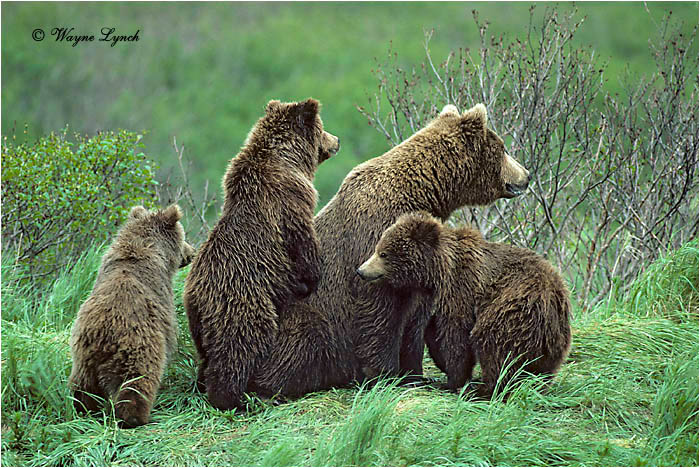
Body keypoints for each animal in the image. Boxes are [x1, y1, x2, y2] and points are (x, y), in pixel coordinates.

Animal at [69, 204, 195, 428]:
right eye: (184, 237)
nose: (192, 252)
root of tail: (103, 331)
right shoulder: (162, 296)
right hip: (138, 344)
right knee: (137, 382)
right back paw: (134, 417)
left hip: (82, 352)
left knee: (84, 385)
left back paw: (85, 409)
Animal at [183, 98, 340, 411]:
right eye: (323, 128)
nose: (337, 141)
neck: (288, 160)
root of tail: (202, 296)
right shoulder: (290, 199)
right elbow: (302, 239)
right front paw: (312, 276)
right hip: (246, 304)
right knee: (240, 350)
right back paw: (234, 397)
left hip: (195, 318)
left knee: (206, 353)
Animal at [241, 103, 531, 399]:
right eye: (503, 148)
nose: (526, 175)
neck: (423, 192)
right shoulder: (375, 239)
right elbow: (380, 311)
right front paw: (385, 375)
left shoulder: (420, 259)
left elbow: (415, 320)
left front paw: (415, 375)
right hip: (301, 313)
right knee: (305, 335)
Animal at [356, 211, 572, 398]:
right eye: (378, 249)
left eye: (383, 253)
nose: (361, 270)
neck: (437, 272)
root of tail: (555, 299)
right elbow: (434, 333)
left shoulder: (462, 288)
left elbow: (456, 337)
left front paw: (452, 380)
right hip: (553, 341)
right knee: (539, 368)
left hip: (514, 310)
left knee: (494, 345)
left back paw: (484, 389)